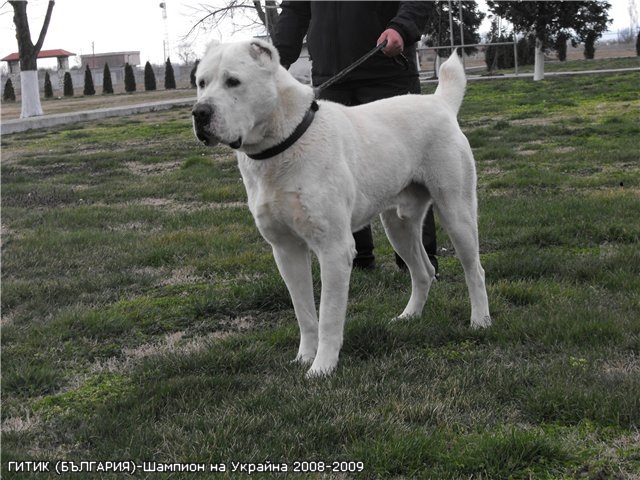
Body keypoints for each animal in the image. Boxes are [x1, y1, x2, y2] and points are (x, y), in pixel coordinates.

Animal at [191, 39, 490, 376]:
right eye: (201, 83)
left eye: (233, 81)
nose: (199, 112)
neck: (282, 142)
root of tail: (440, 103)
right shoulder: (285, 250)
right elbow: (305, 314)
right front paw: (304, 357)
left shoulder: (333, 248)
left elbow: (329, 317)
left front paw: (322, 368)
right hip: (398, 226)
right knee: (424, 272)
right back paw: (409, 317)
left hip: (456, 213)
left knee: (474, 270)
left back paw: (480, 321)